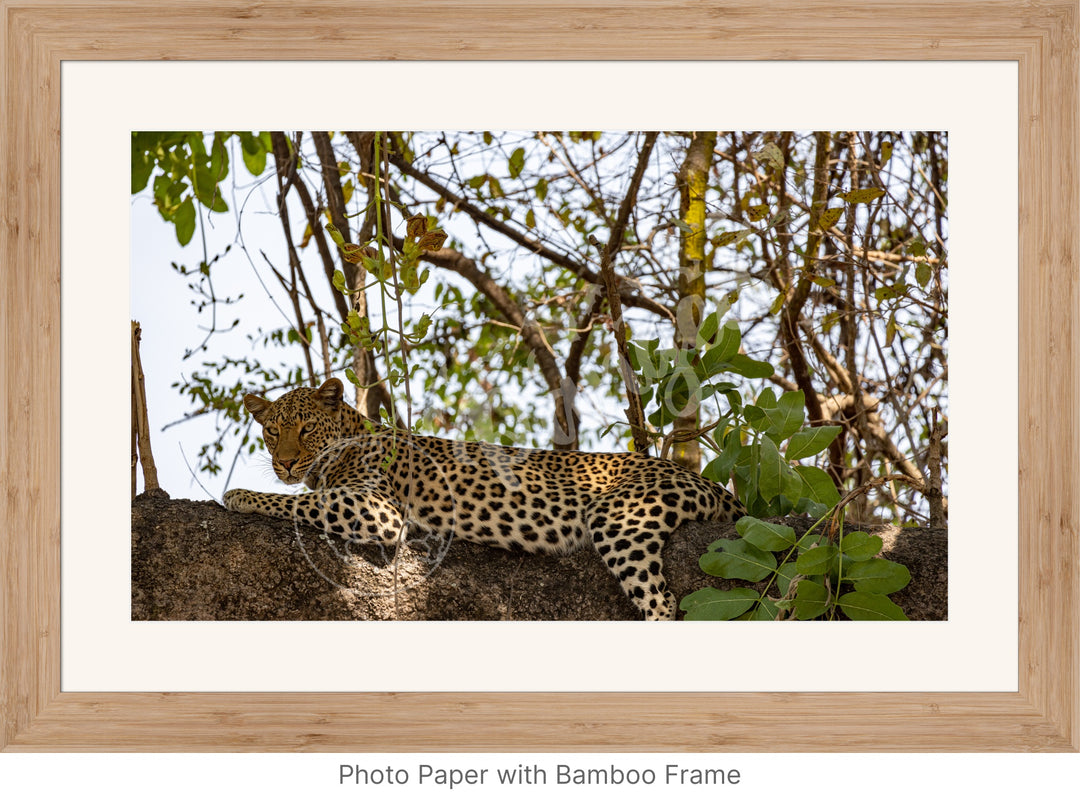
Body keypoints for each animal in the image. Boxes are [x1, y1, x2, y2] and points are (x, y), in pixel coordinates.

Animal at [223, 378, 747, 617]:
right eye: (272, 432)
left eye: (305, 428)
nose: (286, 464)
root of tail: (711, 485)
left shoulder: (377, 508)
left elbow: (298, 504)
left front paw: (241, 495)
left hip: (621, 518)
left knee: (661, 601)